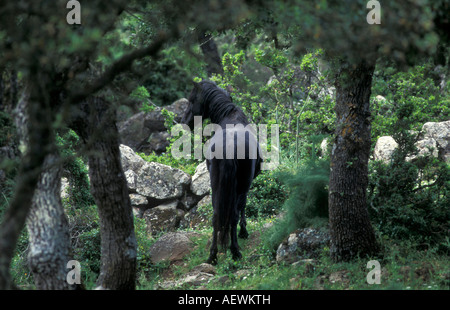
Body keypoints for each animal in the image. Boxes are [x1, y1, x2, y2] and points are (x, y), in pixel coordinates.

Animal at [181, 80, 262, 264]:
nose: (184, 121)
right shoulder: (245, 186)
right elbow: (242, 208)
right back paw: (235, 251)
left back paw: (213, 255)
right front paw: (243, 232)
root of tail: (229, 146)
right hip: (241, 185)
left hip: (216, 185)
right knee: (233, 214)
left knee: (216, 216)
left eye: (192, 100)